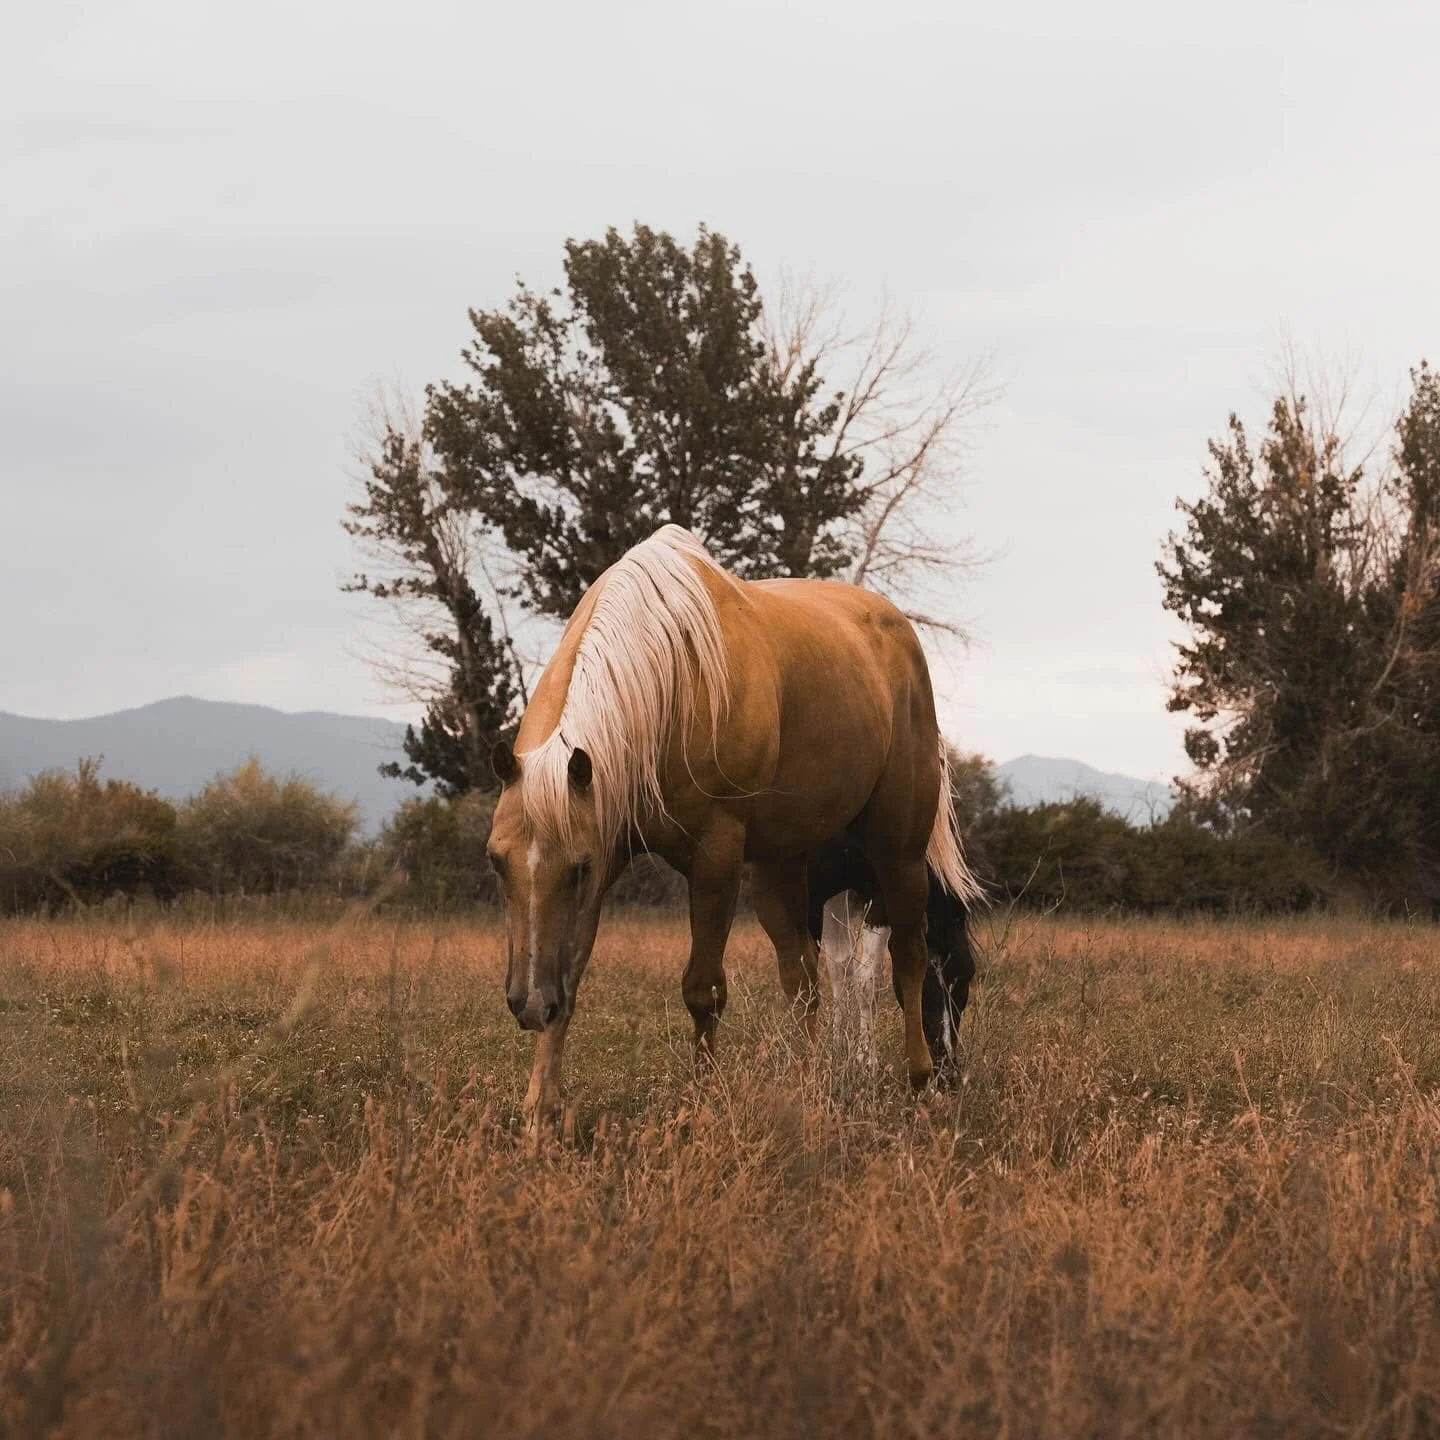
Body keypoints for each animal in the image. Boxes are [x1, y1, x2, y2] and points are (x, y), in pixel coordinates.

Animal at [807, 835, 977, 1075]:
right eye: (922, 976)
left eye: (969, 974)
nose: (948, 1071)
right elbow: (865, 981)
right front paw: (865, 1061)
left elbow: (857, 973)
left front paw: (850, 1054)